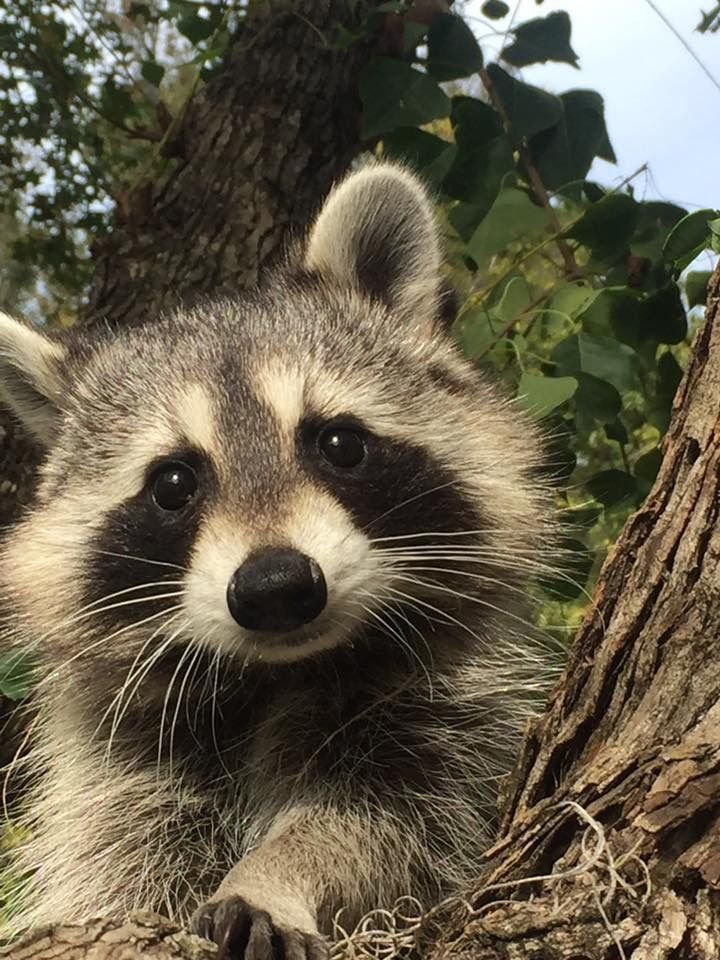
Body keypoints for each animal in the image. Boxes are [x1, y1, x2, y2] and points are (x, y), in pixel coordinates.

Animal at [0, 164, 555, 958]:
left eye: (340, 443)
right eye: (173, 484)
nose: (277, 587)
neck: (275, 674)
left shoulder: (449, 716)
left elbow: (384, 824)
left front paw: (272, 877)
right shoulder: (126, 760)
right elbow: (121, 852)